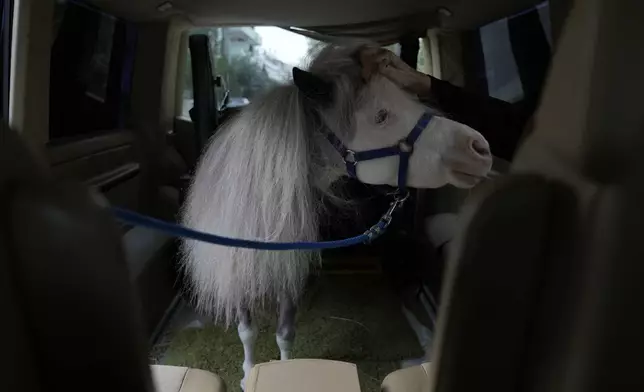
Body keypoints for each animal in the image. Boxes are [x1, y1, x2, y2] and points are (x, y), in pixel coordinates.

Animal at [179, 42, 490, 386]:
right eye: (381, 116)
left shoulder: (289, 268)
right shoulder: (236, 272)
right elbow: (247, 331)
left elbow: (284, 333)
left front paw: (282, 369)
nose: (478, 148)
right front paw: (249, 374)